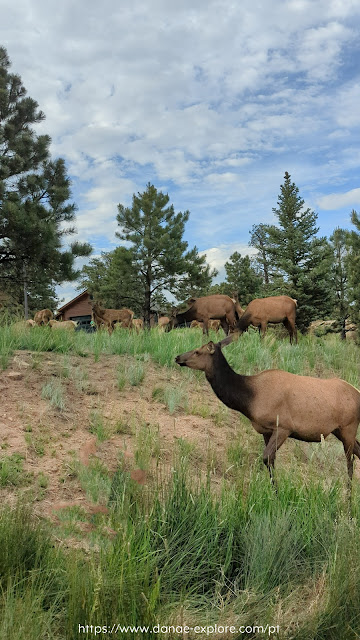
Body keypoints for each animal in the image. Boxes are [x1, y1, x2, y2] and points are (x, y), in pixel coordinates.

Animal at [176, 332, 360, 488]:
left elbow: (266, 458)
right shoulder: (266, 431)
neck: (249, 399)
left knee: (350, 463)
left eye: (198, 351)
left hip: (348, 427)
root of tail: (357, 392)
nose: (178, 357)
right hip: (339, 430)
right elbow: (271, 462)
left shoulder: (284, 427)